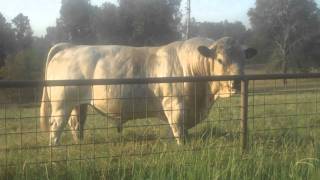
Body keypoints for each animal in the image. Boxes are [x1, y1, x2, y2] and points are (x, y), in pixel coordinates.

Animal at [40, 37, 256, 145]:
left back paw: (79, 145)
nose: (237, 82)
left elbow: (179, 130)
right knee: (56, 126)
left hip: (79, 104)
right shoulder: (175, 105)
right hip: (62, 104)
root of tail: (70, 47)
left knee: (76, 123)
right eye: (220, 59)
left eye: (244, 59)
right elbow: (179, 130)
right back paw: (55, 149)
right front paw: (183, 147)